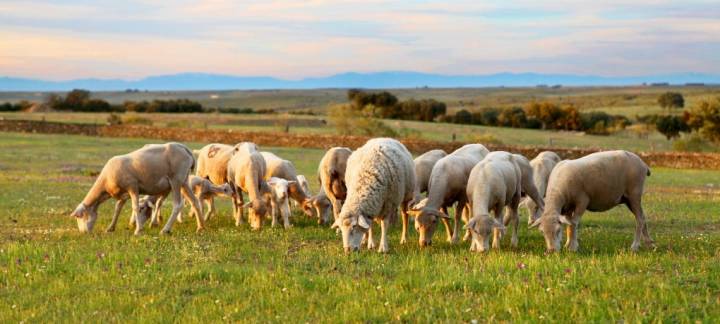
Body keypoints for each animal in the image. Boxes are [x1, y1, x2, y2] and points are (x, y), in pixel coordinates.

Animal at [70, 143, 204, 234]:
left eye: (78, 217)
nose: (83, 233)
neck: (105, 184)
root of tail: (185, 149)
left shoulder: (132, 187)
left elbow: (135, 207)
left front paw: (138, 230)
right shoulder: (123, 194)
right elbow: (117, 208)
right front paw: (110, 228)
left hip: (176, 180)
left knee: (177, 205)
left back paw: (165, 230)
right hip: (184, 181)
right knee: (194, 201)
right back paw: (200, 227)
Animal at [524, 151, 656, 252]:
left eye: (558, 230)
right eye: (542, 232)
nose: (552, 251)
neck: (557, 192)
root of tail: (643, 164)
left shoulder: (582, 200)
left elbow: (574, 223)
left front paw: (573, 247)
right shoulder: (567, 206)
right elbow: (569, 224)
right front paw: (568, 243)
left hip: (634, 194)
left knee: (639, 219)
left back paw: (635, 246)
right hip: (628, 199)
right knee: (642, 217)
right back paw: (649, 243)